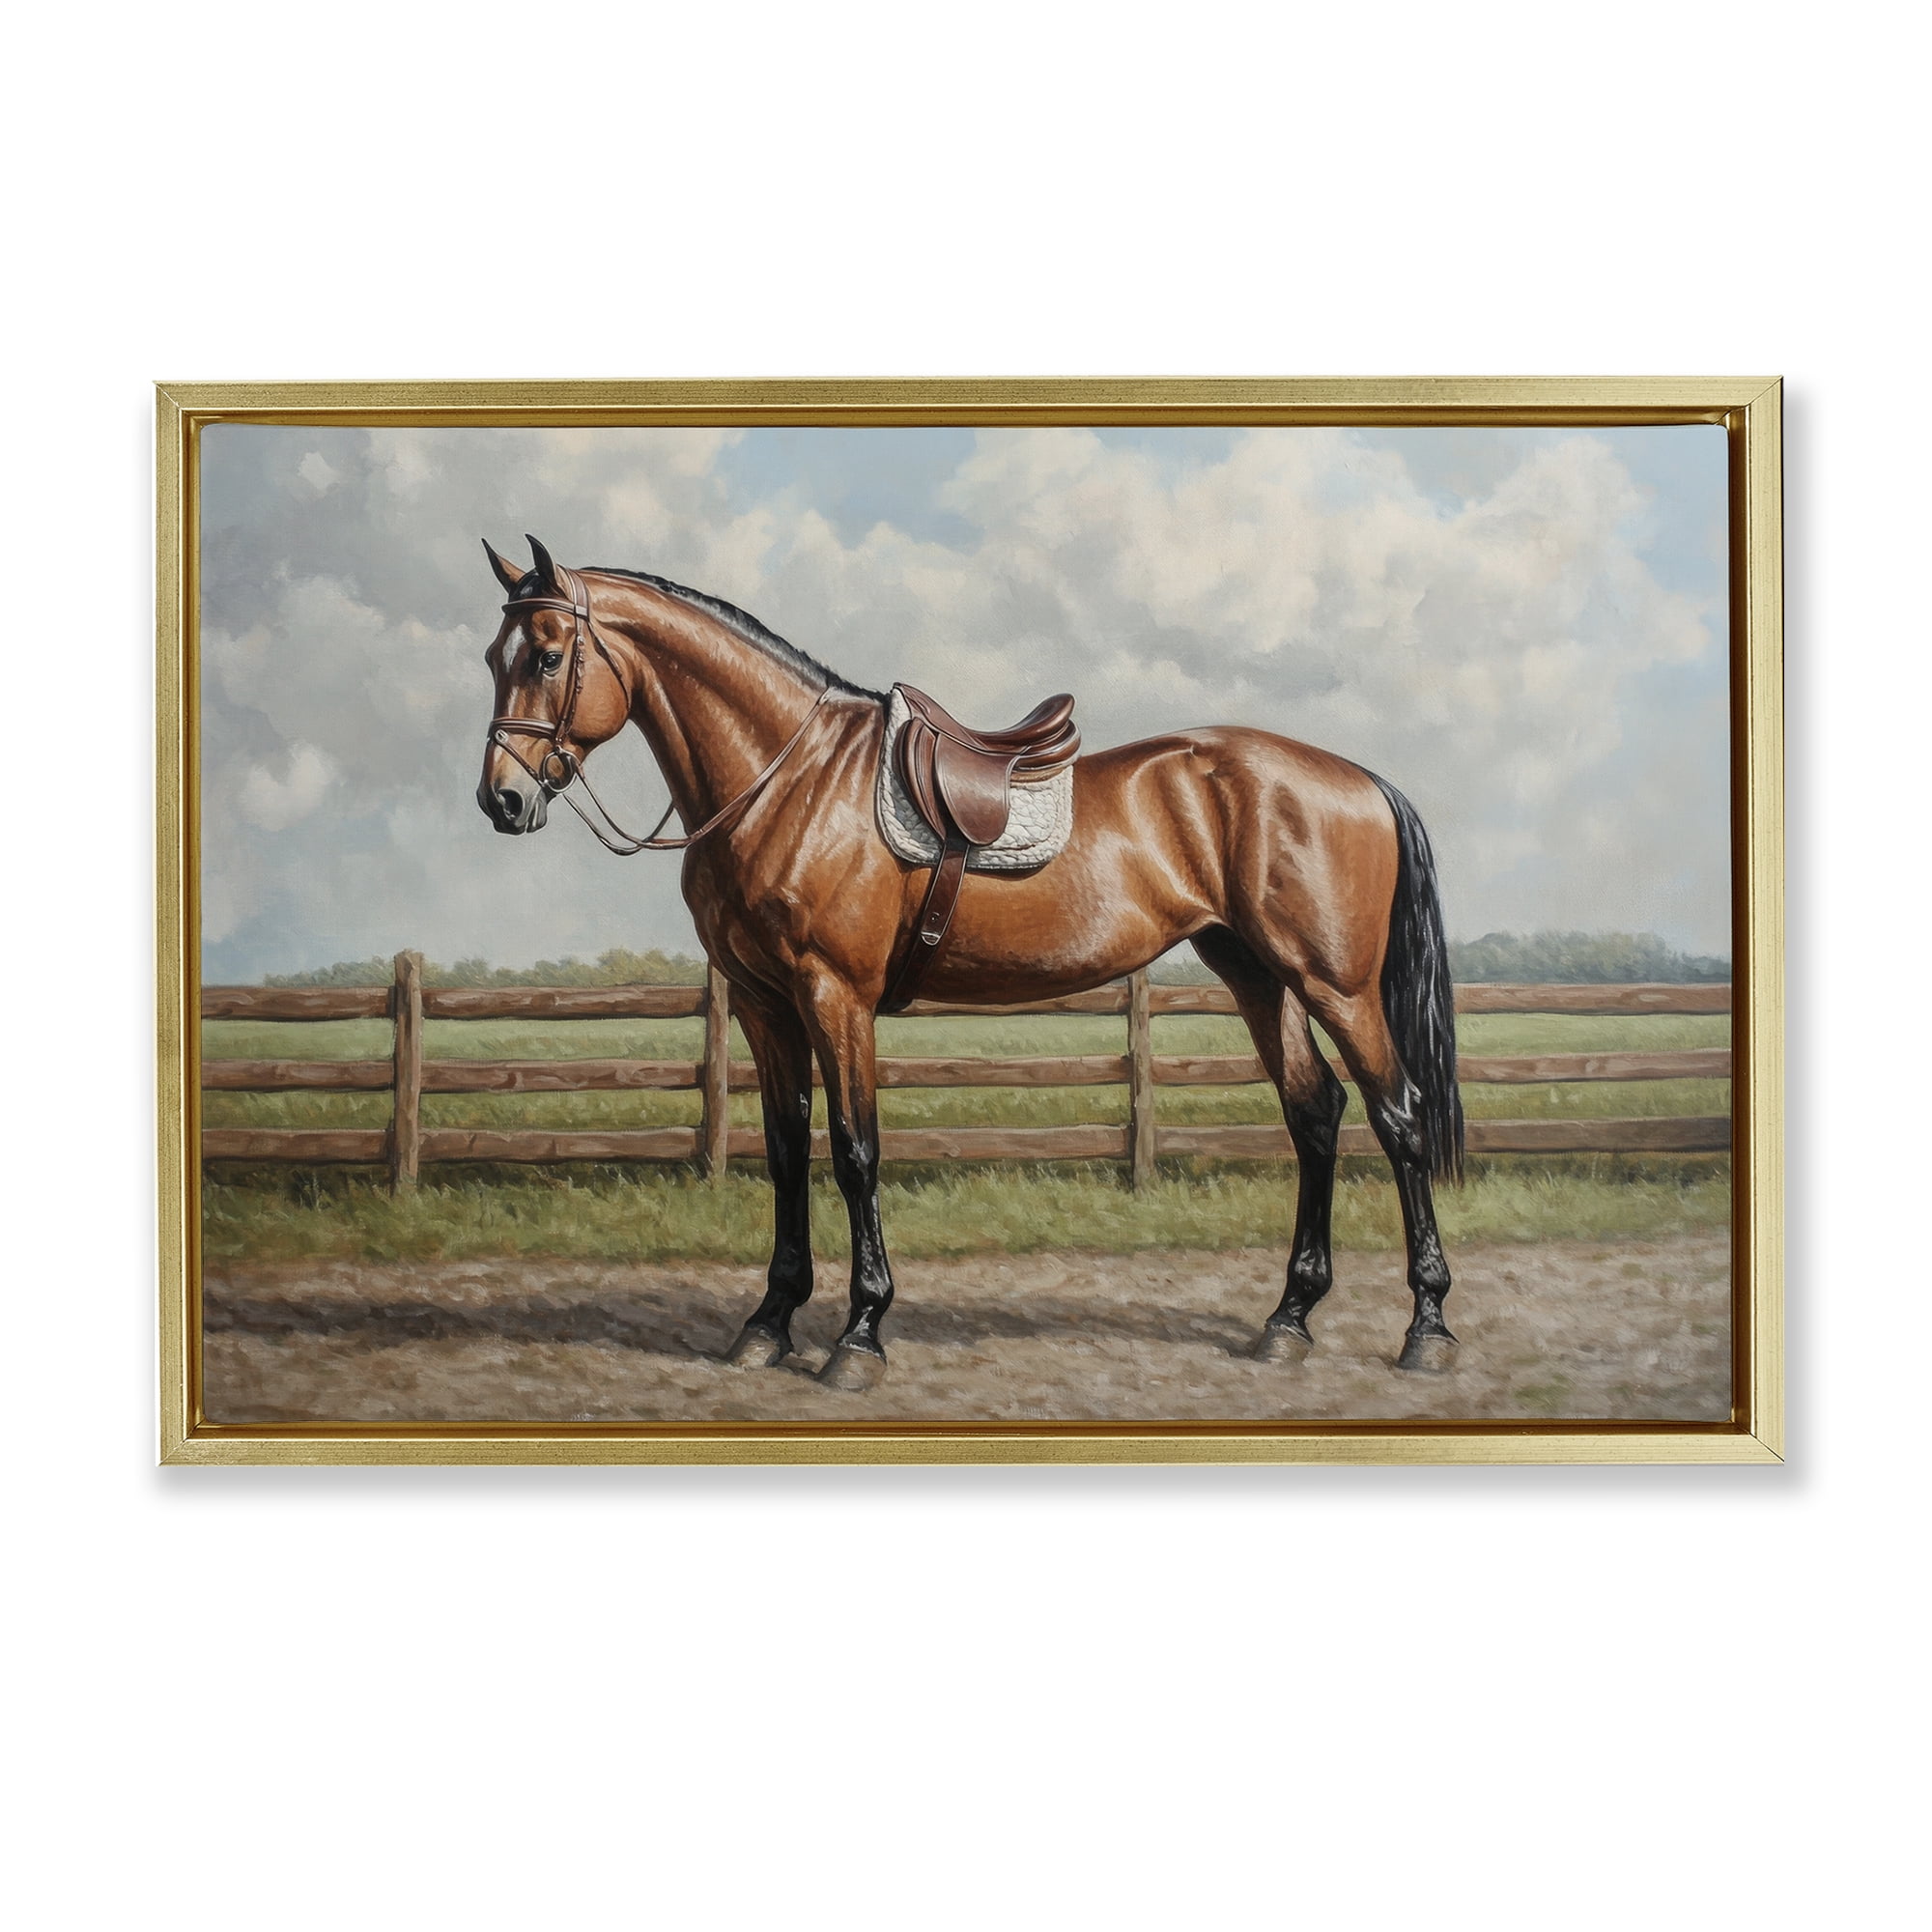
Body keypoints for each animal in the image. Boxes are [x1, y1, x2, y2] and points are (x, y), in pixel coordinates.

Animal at [476, 535, 1464, 1392]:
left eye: (550, 656)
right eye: (494, 656)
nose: (502, 800)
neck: (786, 781)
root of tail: (1360, 781)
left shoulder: (834, 996)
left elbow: (855, 1152)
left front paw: (860, 1334)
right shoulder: (763, 1005)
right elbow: (789, 1152)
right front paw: (768, 1322)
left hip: (1336, 985)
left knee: (1399, 1116)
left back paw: (1428, 1329)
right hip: (1260, 976)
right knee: (1316, 1114)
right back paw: (1288, 1320)